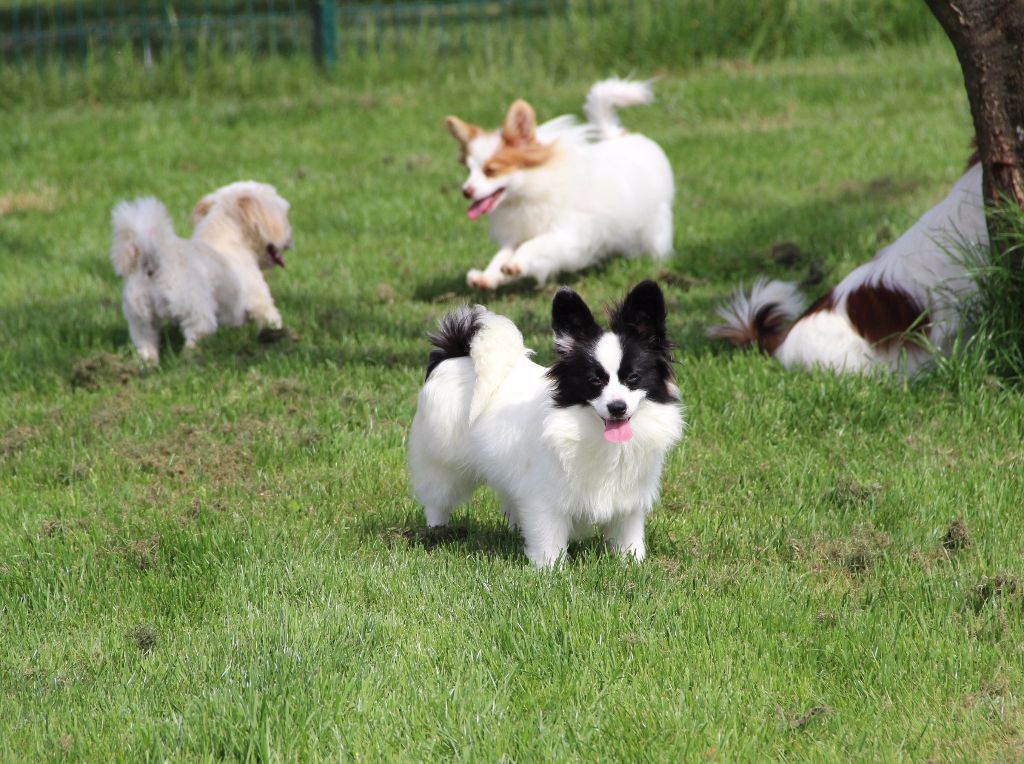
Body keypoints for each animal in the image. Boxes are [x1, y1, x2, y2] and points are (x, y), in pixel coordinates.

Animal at [113, 180, 294, 362]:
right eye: (284, 217)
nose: (290, 239)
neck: (224, 240)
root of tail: (153, 258)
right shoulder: (258, 300)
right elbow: (271, 318)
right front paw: (279, 334)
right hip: (195, 309)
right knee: (195, 335)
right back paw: (190, 360)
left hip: (140, 317)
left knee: (146, 341)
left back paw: (149, 363)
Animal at [403, 280, 684, 565]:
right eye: (594, 380)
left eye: (633, 378)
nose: (617, 407)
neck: (593, 431)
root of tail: (456, 355)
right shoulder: (545, 499)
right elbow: (549, 539)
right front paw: (550, 570)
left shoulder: (629, 501)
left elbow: (628, 536)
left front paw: (633, 564)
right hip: (442, 464)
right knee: (437, 498)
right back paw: (437, 530)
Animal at [446, 78, 671, 288]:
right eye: (468, 171)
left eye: (491, 171)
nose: (465, 191)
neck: (526, 195)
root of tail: (618, 135)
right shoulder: (517, 235)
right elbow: (501, 255)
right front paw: (488, 276)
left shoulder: (564, 235)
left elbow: (533, 244)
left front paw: (516, 264)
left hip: (655, 222)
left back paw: (653, 260)